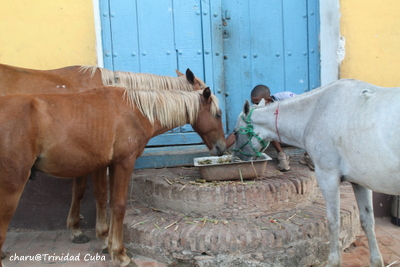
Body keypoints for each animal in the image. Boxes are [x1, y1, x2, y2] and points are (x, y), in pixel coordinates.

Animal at [0, 87, 225, 266]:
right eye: (218, 114)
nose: (222, 147)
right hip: (12, 187)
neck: (136, 111)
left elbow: (104, 200)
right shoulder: (124, 163)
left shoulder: (106, 165)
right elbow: (118, 205)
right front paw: (120, 254)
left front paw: (106, 244)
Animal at [231, 78, 400, 266]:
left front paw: (333, 261)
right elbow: (367, 220)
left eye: (235, 132)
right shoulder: (360, 181)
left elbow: (333, 221)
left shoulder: (328, 176)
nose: (236, 159)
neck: (315, 112)